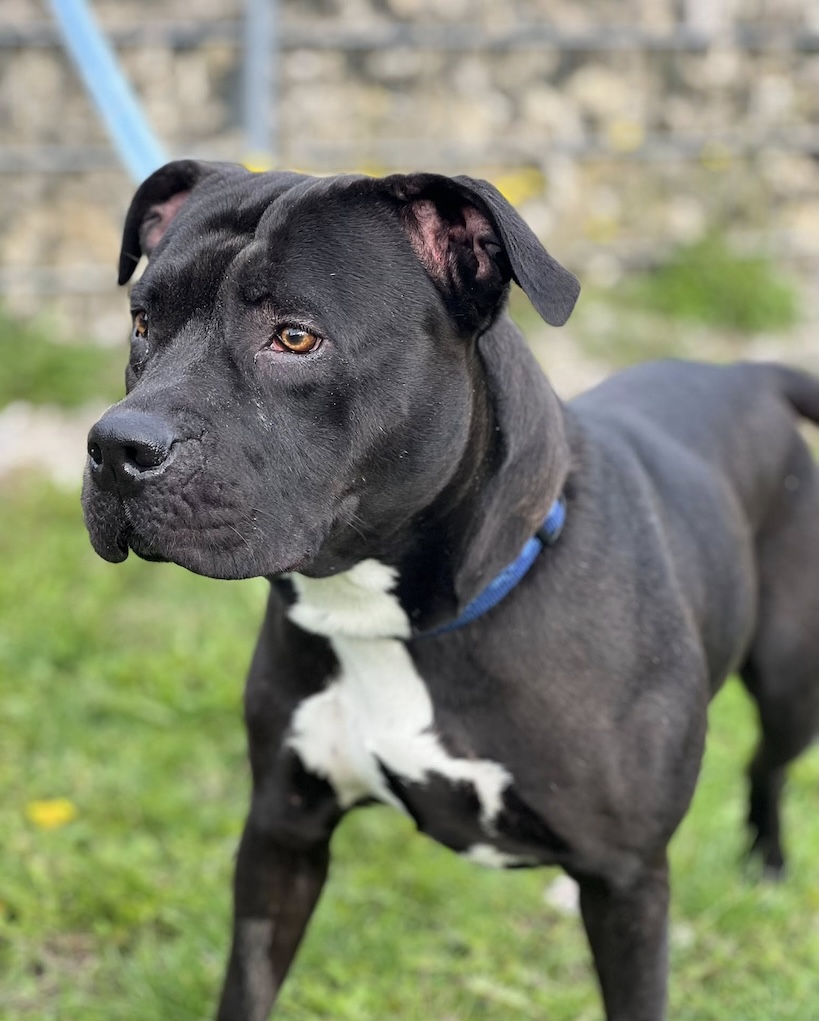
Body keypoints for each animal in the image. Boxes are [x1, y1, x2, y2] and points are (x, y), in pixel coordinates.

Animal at [82, 160, 819, 1021]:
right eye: (141, 322)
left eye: (295, 337)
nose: (116, 446)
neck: (392, 620)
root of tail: (747, 374)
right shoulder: (282, 834)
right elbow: (247, 984)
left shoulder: (627, 880)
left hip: (789, 684)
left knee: (766, 765)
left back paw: (765, 866)